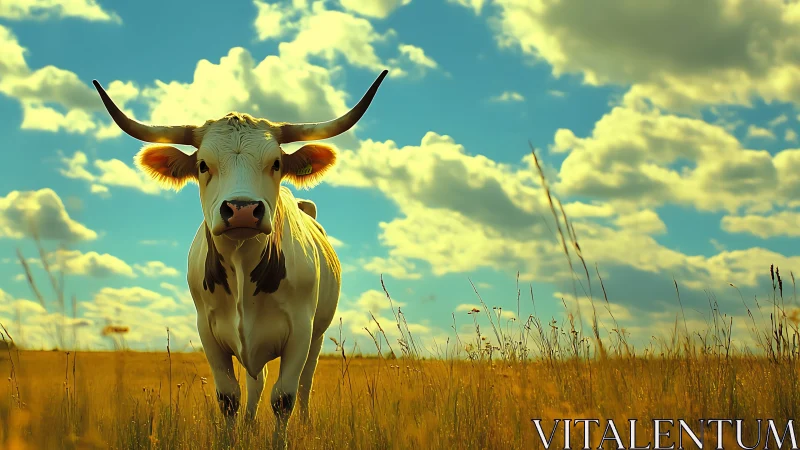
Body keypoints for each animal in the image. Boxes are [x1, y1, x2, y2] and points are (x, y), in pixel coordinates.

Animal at [92, 70, 388, 448]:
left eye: (276, 163)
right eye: (203, 165)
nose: (243, 209)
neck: (242, 264)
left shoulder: (301, 331)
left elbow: (284, 397)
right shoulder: (208, 332)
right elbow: (230, 397)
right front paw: (234, 437)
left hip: (317, 336)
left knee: (304, 383)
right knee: (255, 382)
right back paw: (249, 423)